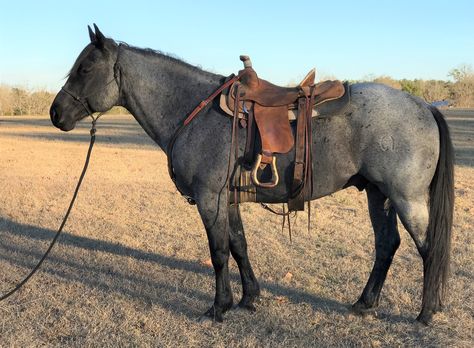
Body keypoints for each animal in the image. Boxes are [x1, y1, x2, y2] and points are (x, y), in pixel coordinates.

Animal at [50, 25, 454, 326]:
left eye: (85, 69)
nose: (56, 113)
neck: (193, 111)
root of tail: (424, 105)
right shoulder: (227, 199)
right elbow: (239, 245)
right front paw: (249, 297)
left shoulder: (210, 199)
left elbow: (218, 252)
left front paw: (219, 307)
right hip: (377, 194)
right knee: (387, 244)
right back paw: (364, 303)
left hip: (405, 197)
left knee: (427, 248)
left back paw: (426, 313)